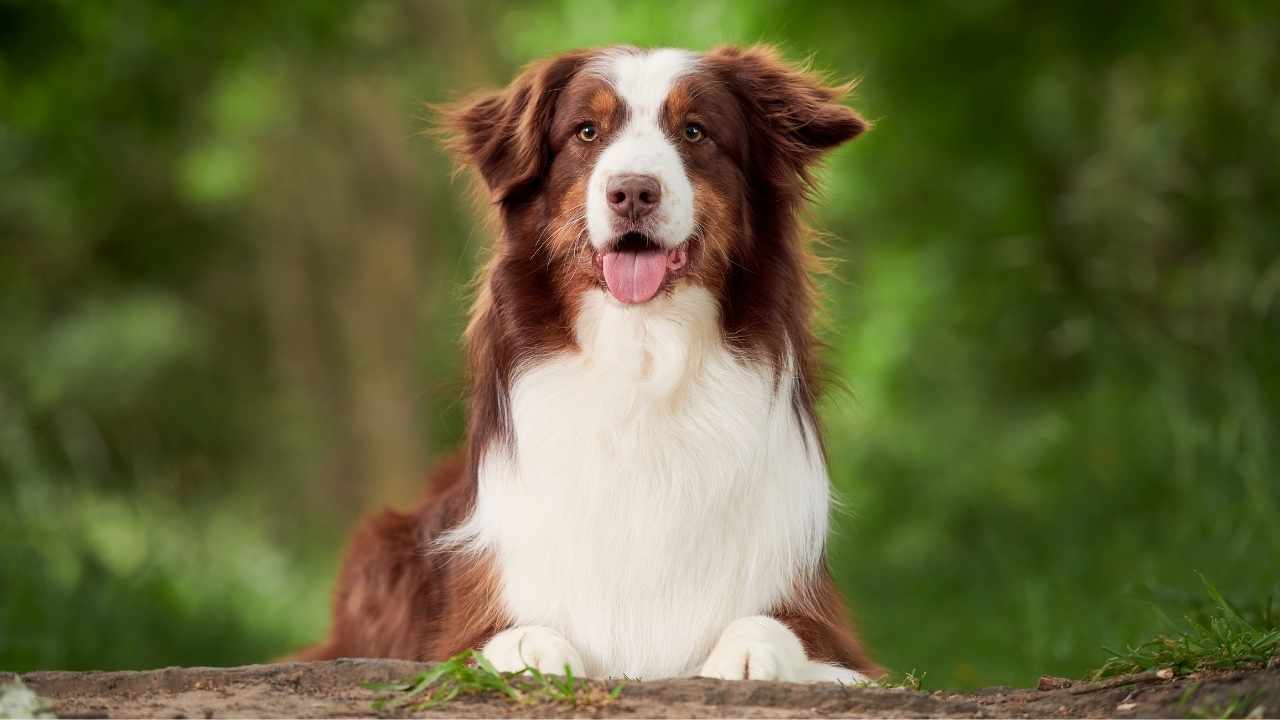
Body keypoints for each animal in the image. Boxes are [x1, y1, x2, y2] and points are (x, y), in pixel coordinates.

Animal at [298, 44, 880, 681]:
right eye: (586, 132)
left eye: (695, 131)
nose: (632, 191)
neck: (643, 356)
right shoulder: (468, 619)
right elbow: (505, 636)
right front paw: (536, 652)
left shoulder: (831, 632)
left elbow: (774, 627)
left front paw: (748, 653)